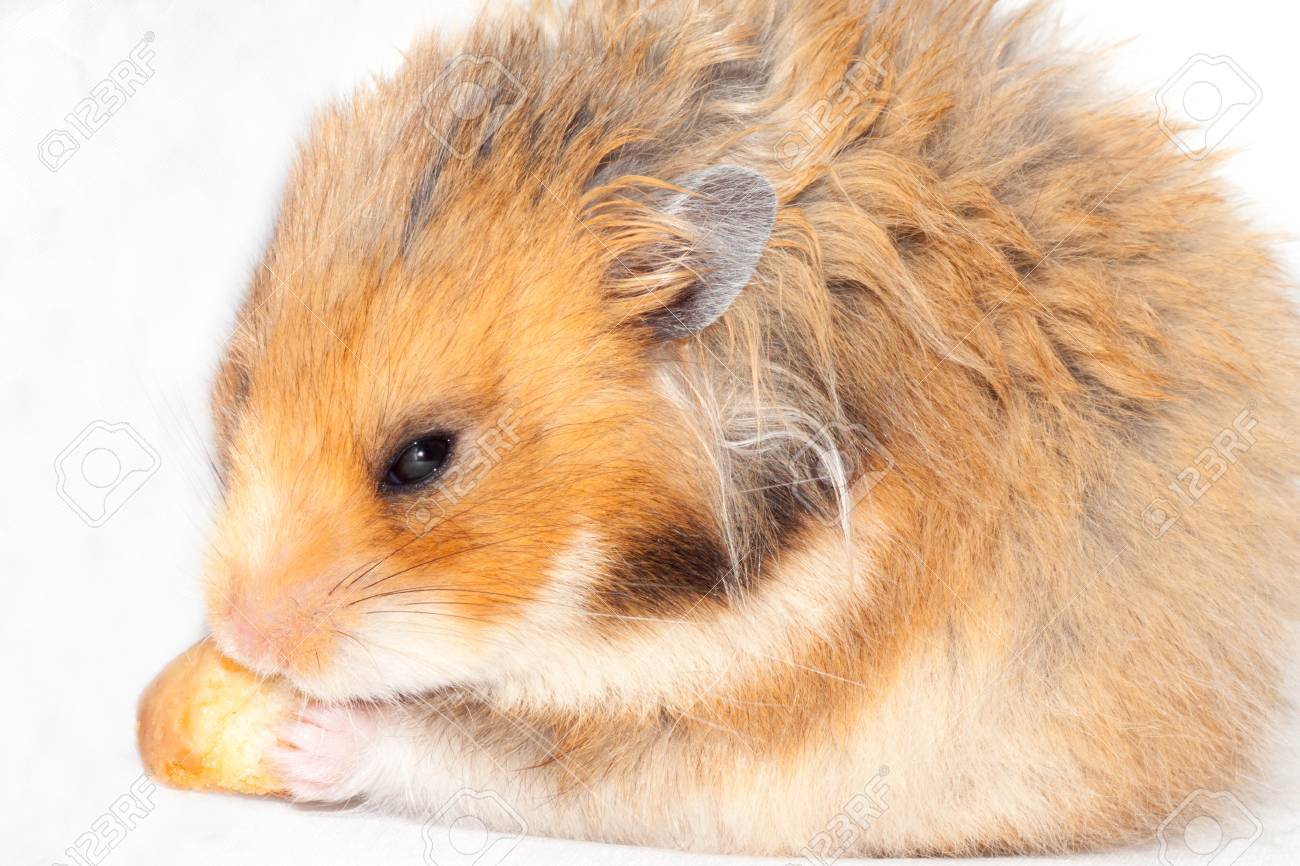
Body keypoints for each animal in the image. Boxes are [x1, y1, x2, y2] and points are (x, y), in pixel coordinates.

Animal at [202, 0, 1299, 856]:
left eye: (423, 458)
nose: (239, 637)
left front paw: (303, 736)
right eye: (242, 386)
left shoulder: (738, 729)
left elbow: (489, 753)